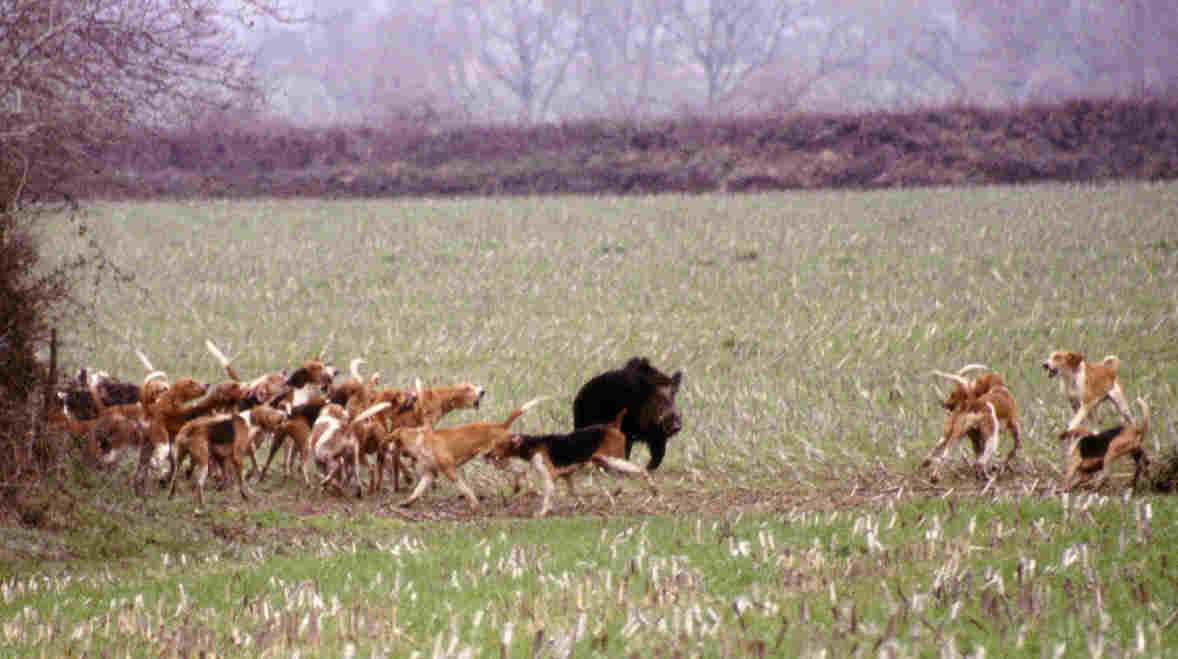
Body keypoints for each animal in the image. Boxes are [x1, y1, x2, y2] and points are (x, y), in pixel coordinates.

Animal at [395, 396, 541, 511]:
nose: (402, 455)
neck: (421, 439)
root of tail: (500, 426)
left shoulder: (451, 472)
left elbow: (465, 489)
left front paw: (474, 504)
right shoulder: (429, 474)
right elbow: (417, 491)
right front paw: (406, 503)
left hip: (498, 459)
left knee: (522, 471)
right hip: (497, 460)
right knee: (521, 472)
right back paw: (522, 489)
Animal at [482, 410, 659, 518]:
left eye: (499, 444)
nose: (486, 454)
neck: (531, 445)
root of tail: (612, 426)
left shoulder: (549, 477)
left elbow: (547, 496)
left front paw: (542, 512)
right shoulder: (567, 476)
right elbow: (574, 492)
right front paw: (581, 504)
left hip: (613, 460)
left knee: (641, 470)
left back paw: (653, 489)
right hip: (603, 463)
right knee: (615, 485)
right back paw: (614, 499)